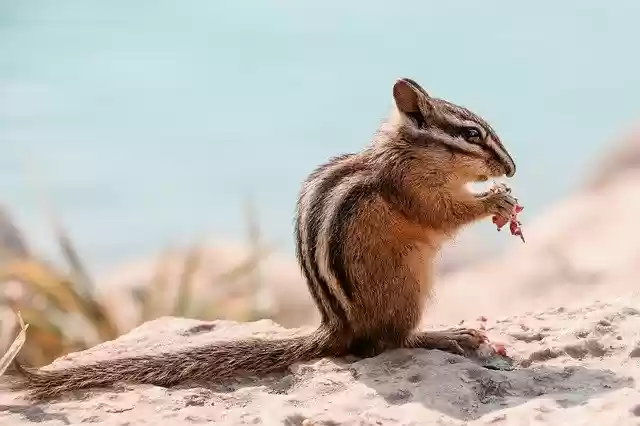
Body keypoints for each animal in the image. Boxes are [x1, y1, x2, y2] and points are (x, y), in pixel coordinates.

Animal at [5, 77, 517, 400]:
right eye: (472, 134)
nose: (511, 168)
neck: (408, 152)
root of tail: (337, 327)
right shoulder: (410, 190)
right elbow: (442, 214)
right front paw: (494, 200)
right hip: (406, 285)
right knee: (388, 342)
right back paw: (446, 335)